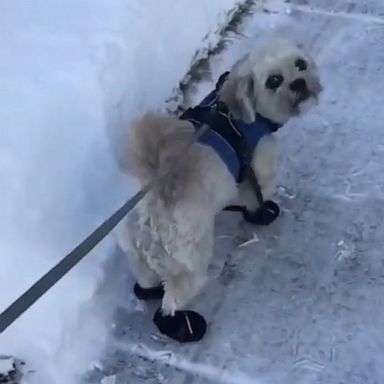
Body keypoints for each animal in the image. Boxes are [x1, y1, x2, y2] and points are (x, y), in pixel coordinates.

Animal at [118, 38, 322, 342]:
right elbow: (258, 197)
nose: (299, 82)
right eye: (274, 80)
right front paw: (263, 213)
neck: (242, 114)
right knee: (171, 301)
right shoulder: (258, 168)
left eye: (300, 64)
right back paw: (185, 326)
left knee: (145, 279)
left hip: (137, 254)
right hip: (190, 261)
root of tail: (153, 196)